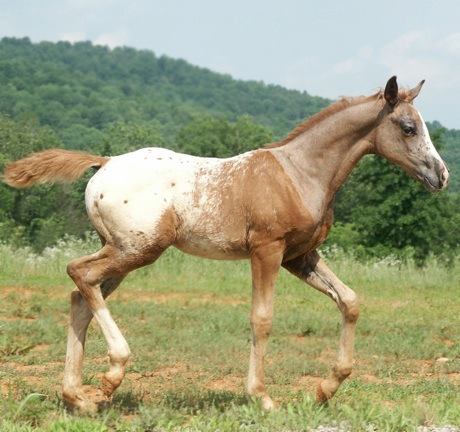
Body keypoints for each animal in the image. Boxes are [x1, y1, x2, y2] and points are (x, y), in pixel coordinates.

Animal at [2, 77, 450, 412]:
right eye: (408, 127)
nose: (441, 174)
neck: (300, 172)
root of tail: (106, 163)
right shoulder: (267, 250)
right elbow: (262, 318)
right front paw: (262, 397)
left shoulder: (300, 256)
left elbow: (350, 301)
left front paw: (325, 389)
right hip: (136, 249)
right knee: (79, 273)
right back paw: (112, 374)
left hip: (120, 252)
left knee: (81, 296)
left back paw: (78, 397)